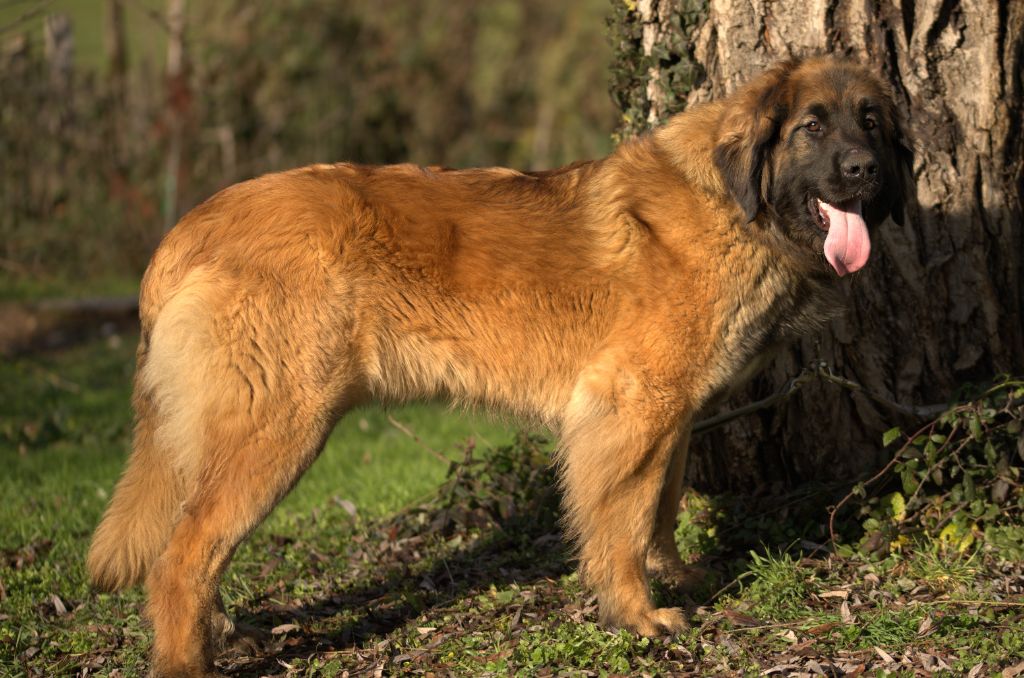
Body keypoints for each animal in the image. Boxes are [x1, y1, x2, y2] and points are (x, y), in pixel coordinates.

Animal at [88, 57, 913, 675]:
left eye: (871, 120)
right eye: (812, 126)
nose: (865, 170)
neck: (735, 206)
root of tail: (188, 228)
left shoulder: (668, 413)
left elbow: (662, 505)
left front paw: (677, 577)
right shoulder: (629, 406)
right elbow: (624, 518)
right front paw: (638, 613)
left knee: (193, 542)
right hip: (280, 429)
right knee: (182, 556)